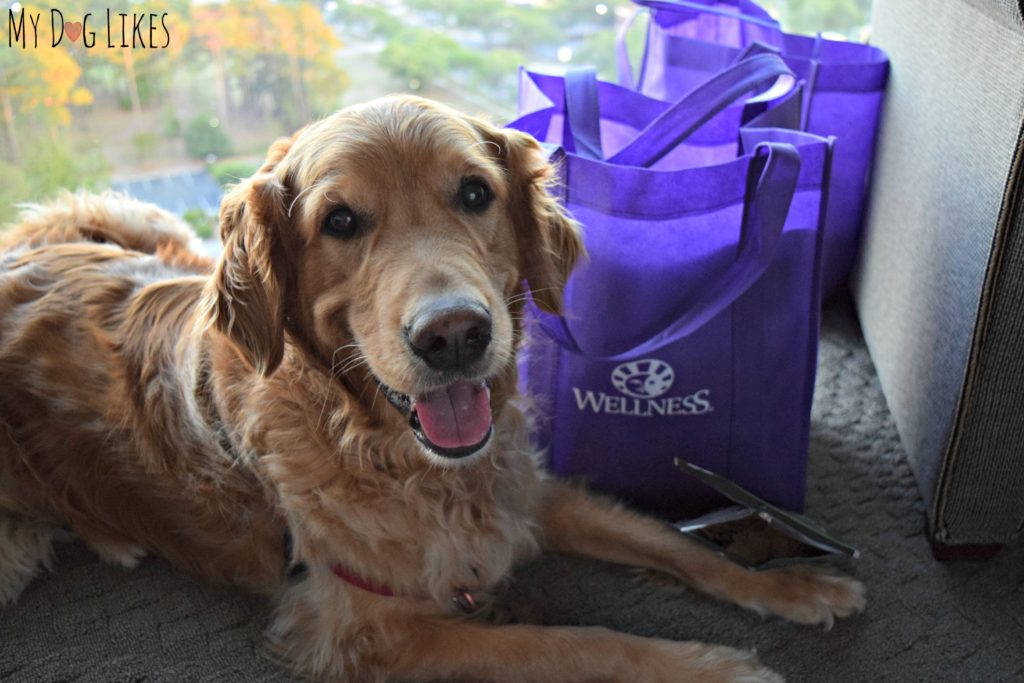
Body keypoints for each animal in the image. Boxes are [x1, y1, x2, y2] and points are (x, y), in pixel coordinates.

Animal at [0, 96, 864, 683]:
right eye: (340, 220)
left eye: (475, 193)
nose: (454, 334)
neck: (405, 460)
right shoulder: (368, 633)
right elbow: (574, 641)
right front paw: (708, 665)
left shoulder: (526, 488)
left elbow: (671, 541)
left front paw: (790, 583)